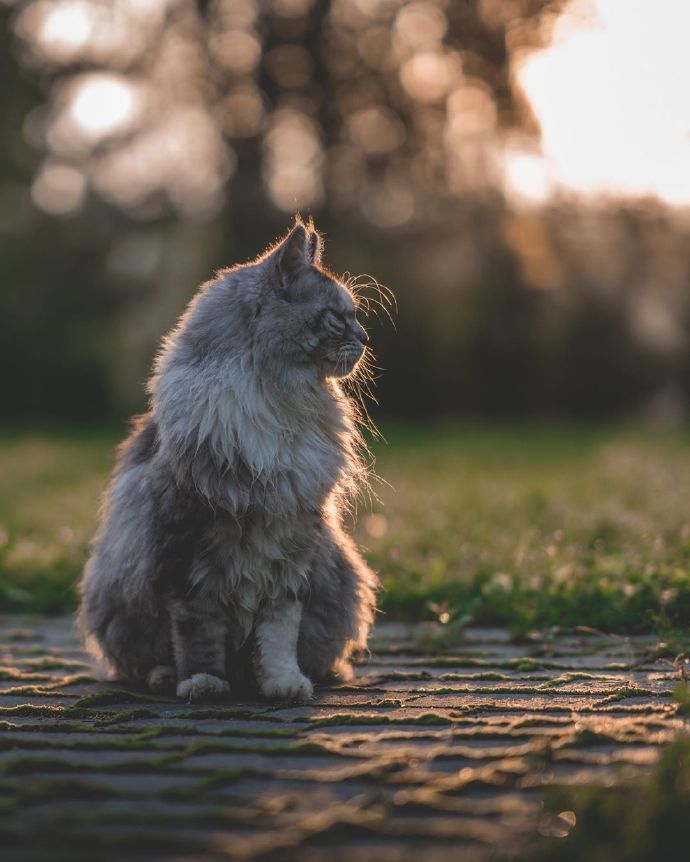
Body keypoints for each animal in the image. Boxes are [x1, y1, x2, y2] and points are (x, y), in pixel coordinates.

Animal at [81, 219, 382, 704]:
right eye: (338, 317)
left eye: (356, 315)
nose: (366, 339)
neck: (277, 398)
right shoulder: (188, 551)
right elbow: (197, 634)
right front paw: (203, 683)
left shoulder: (291, 547)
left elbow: (279, 635)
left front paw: (284, 684)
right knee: (145, 660)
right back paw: (167, 678)